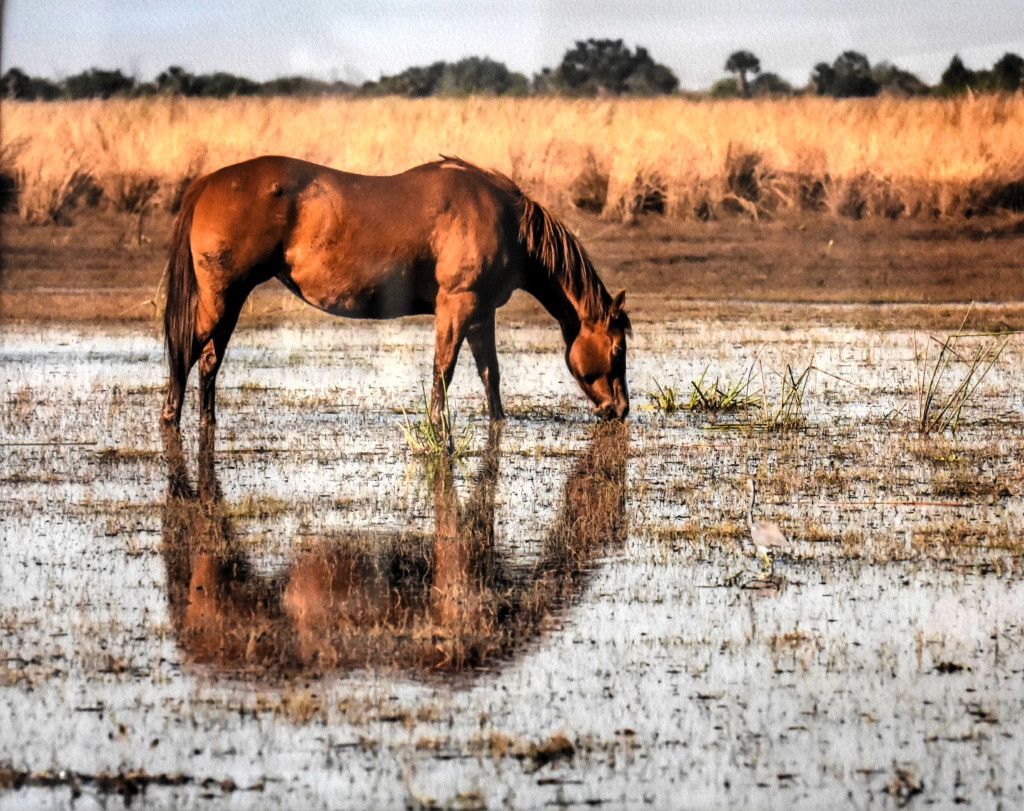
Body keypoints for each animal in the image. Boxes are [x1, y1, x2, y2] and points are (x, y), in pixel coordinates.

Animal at [157, 153, 630, 430]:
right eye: (618, 348)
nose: (620, 409)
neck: (506, 220)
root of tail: (207, 184)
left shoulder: (481, 312)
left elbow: (489, 373)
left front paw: (499, 423)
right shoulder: (456, 305)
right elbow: (444, 369)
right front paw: (439, 428)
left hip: (230, 301)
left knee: (209, 361)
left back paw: (208, 421)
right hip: (220, 301)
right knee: (186, 353)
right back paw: (170, 418)